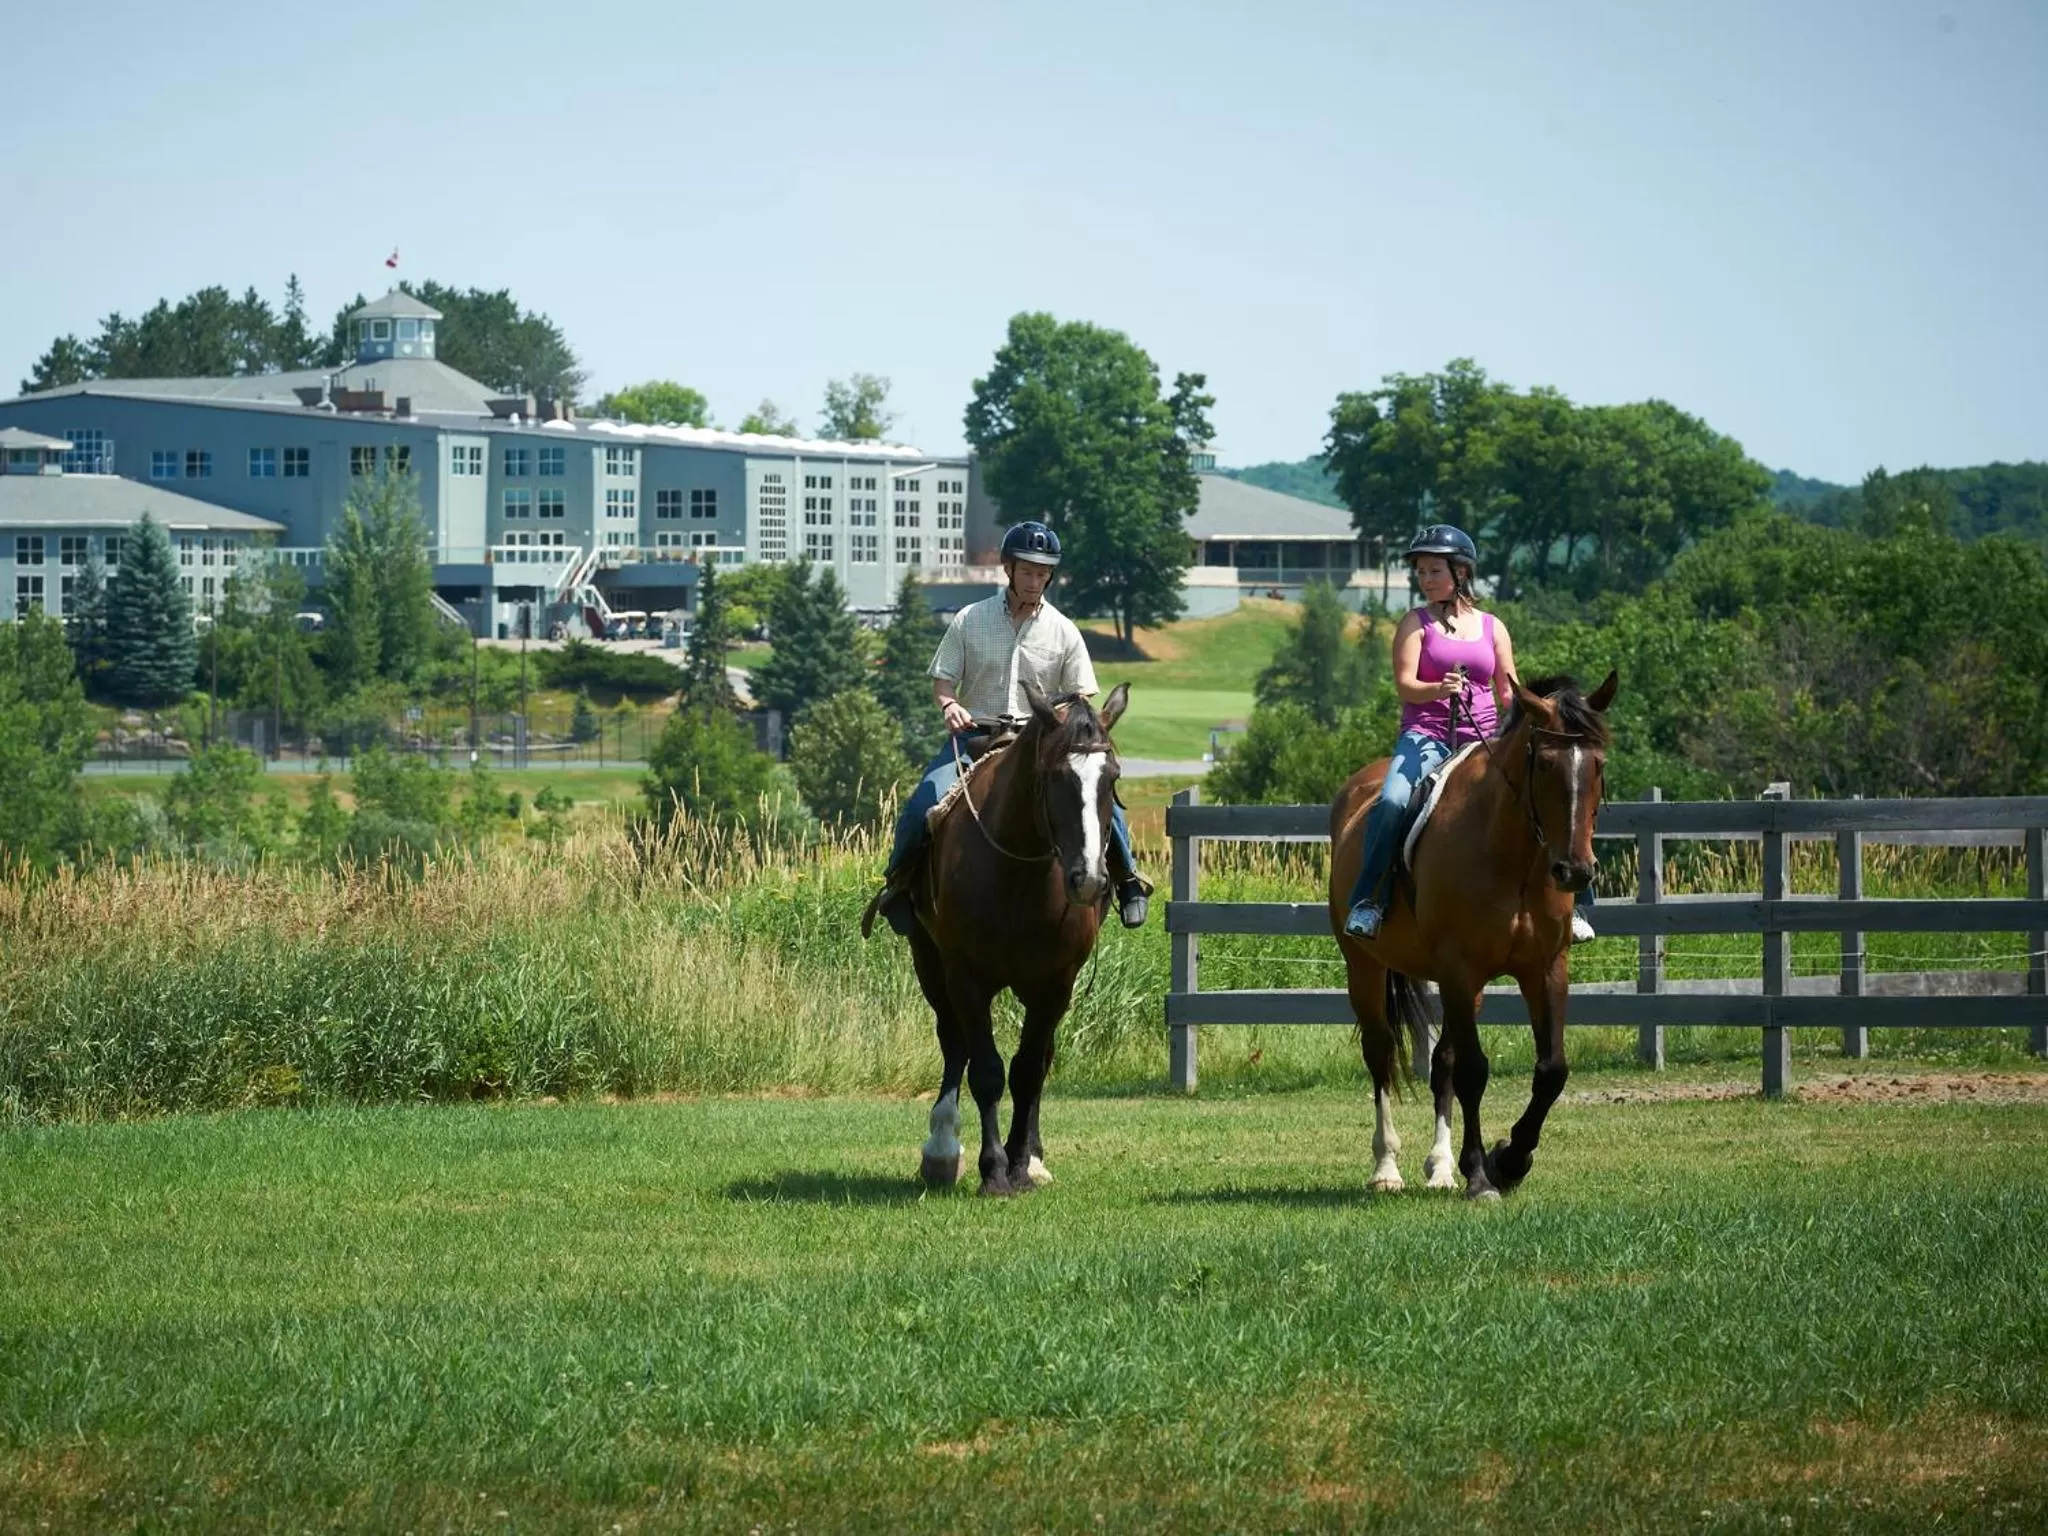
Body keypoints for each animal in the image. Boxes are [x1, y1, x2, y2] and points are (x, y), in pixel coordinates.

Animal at [876, 680, 1129, 1197]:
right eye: (1056, 775)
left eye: (1112, 776)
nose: (1089, 880)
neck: (1018, 872)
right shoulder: (966, 978)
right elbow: (986, 1069)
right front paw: (992, 1169)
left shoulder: (1055, 985)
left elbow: (1028, 1070)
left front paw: (1019, 1165)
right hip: (929, 964)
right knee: (954, 1044)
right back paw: (942, 1148)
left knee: (1040, 1058)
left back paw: (1033, 1157)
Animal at [1327, 671, 1618, 1200]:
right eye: (1546, 763)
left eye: (1598, 763)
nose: (1574, 871)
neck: (1511, 856)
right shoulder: (1458, 969)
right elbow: (1474, 1071)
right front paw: (1482, 1175)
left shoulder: (1543, 969)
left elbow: (1551, 1070)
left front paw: (1510, 1160)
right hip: (1365, 968)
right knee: (1380, 1052)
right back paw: (1386, 1167)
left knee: (1441, 1059)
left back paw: (1440, 1167)